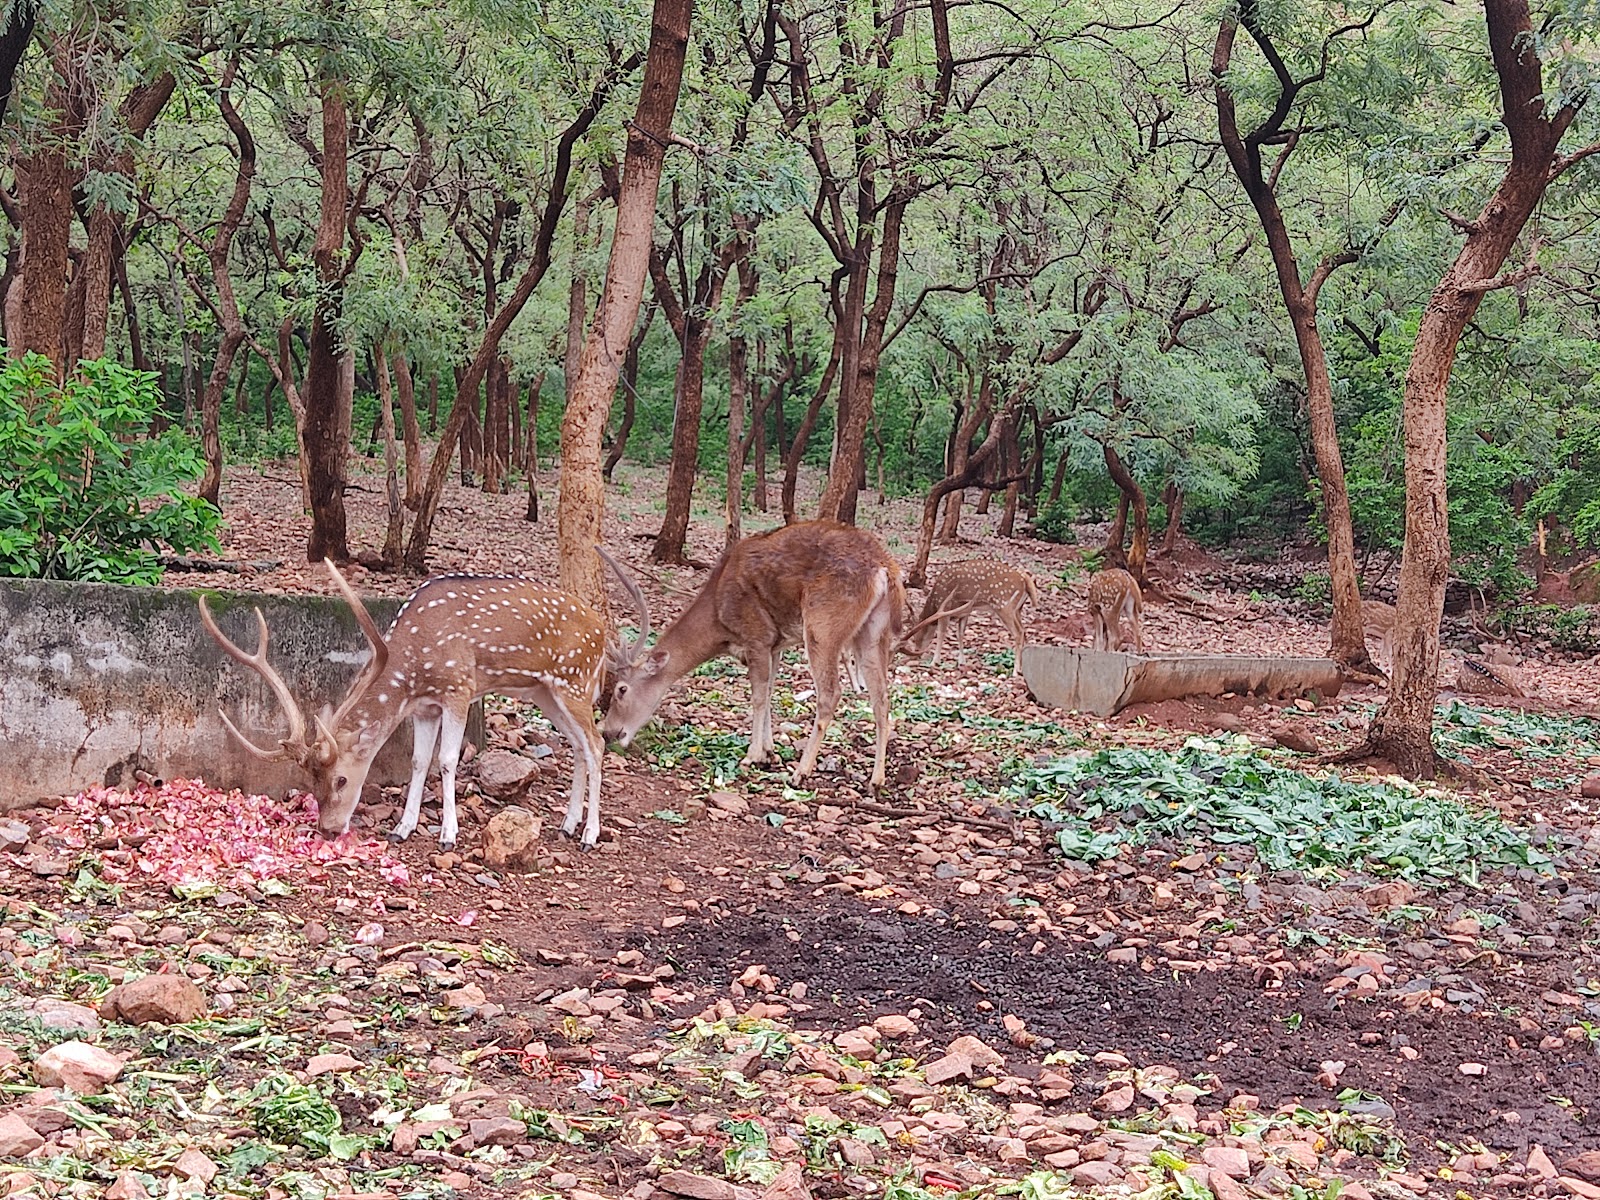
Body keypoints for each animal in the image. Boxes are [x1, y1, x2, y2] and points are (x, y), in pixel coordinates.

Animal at [199, 560, 606, 850]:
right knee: (578, 745)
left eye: (341, 778)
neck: (415, 663)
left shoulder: (459, 687)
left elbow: (446, 761)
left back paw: (589, 835)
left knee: (597, 743)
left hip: (576, 679)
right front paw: (402, 828)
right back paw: (568, 825)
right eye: (309, 781)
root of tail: (602, 629)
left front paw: (448, 835)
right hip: (544, 691)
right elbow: (418, 760)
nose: (328, 829)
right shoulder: (424, 707)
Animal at [598, 521, 904, 789]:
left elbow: (757, 697)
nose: (609, 732)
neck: (718, 620)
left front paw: (752, 756)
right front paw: (770, 752)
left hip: (823, 625)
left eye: (621, 689)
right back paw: (876, 780)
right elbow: (769, 692)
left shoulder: (756, 635)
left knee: (831, 693)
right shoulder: (775, 644)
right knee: (882, 698)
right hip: (873, 631)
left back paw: (801, 772)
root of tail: (884, 569)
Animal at [905, 561, 1041, 676]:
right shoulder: (965, 613)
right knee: (1023, 631)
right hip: (1017, 609)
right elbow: (960, 634)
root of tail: (1024, 579)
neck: (934, 602)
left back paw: (1015, 671)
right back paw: (1023, 669)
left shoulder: (945, 608)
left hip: (1003, 605)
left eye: (915, 637)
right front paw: (961, 661)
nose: (915, 654)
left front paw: (935, 661)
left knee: (1018, 633)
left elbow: (941, 634)